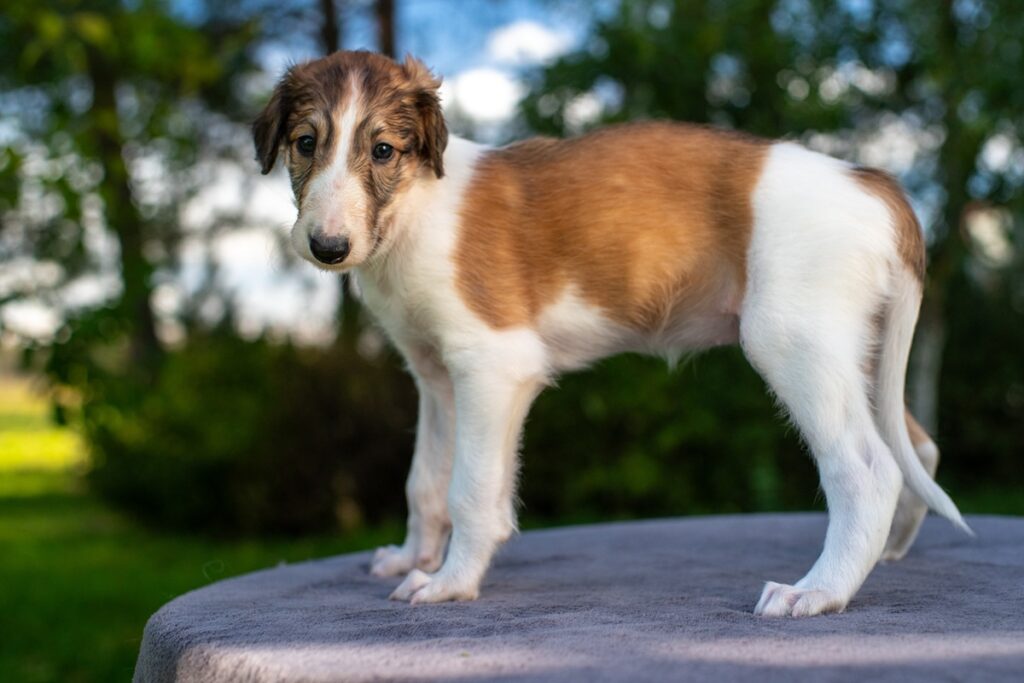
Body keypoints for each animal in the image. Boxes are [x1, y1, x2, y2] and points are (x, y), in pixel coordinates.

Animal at [253, 50, 967, 616]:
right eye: (306, 143)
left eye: (382, 150)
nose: (328, 247)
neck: (415, 207)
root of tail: (872, 182)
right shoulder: (435, 377)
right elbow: (425, 481)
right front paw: (411, 559)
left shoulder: (492, 366)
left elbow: (470, 491)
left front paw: (449, 583)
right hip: (857, 352)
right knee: (917, 447)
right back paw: (889, 553)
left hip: (794, 342)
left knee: (870, 469)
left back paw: (820, 590)